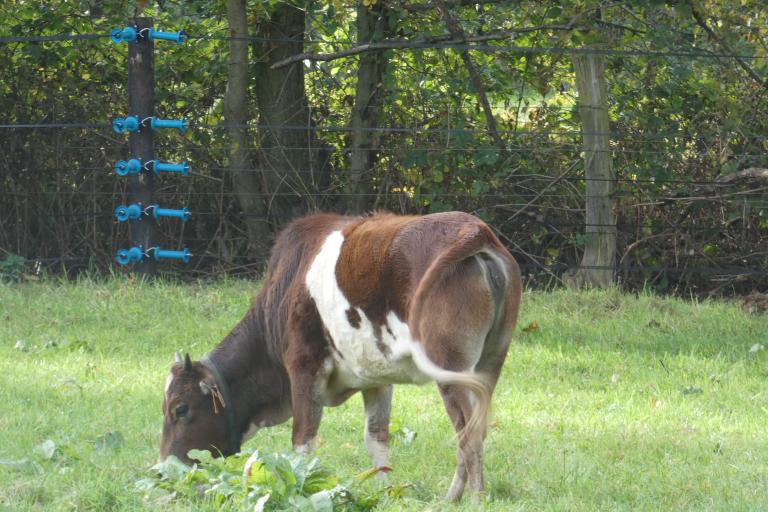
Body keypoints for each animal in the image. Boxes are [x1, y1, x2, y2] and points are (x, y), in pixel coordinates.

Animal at [160, 211, 520, 500]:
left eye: (180, 408)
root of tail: (473, 229)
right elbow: (376, 438)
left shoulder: (303, 366)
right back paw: (454, 498)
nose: (162, 470)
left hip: (449, 367)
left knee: (468, 431)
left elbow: (303, 440)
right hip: (489, 362)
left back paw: (473, 499)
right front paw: (385, 493)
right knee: (474, 426)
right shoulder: (376, 378)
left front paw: (301, 490)